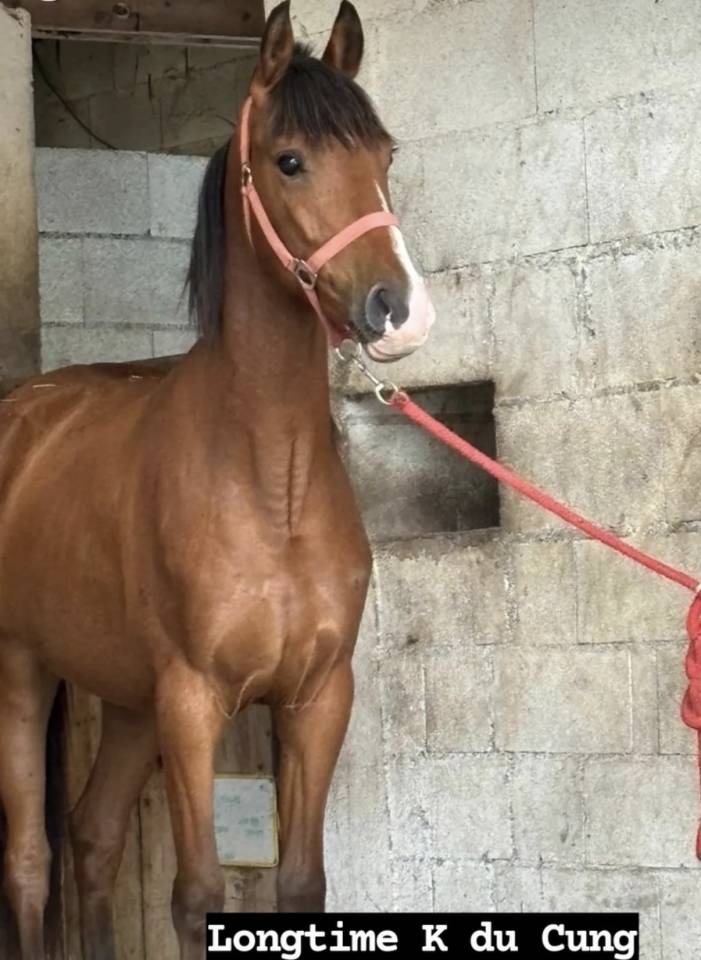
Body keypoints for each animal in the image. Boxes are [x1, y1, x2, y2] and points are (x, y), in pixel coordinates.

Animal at [0, 2, 434, 956]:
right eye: (290, 160)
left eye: (384, 155)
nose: (401, 310)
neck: (269, 479)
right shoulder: (194, 702)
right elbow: (196, 893)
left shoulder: (317, 697)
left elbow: (301, 882)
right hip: (23, 672)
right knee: (30, 863)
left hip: (129, 700)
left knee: (93, 836)